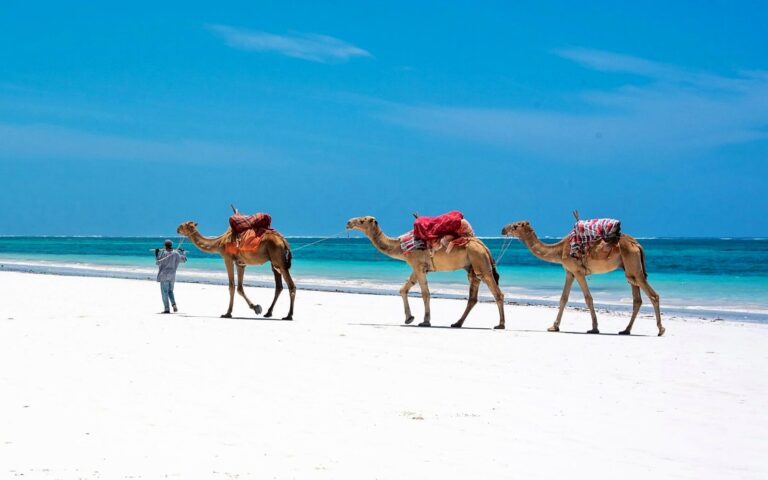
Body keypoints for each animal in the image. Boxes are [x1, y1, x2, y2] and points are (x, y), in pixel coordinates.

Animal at [346, 216, 505, 329]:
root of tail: (483, 246)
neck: (400, 247)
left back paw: (500, 325)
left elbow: (425, 293)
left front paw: (425, 321)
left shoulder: (417, 264)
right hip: (472, 266)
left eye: (362, 220)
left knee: (497, 293)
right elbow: (403, 289)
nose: (348, 222)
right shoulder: (420, 267)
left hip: (481, 262)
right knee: (472, 297)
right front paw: (409, 318)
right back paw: (457, 323)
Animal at [501, 220, 664, 336]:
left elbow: (588, 298)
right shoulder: (569, 272)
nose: (503, 229)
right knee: (637, 299)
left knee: (653, 295)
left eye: (515, 225)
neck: (560, 249)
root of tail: (636, 244)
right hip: (629, 269)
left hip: (633, 266)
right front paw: (554, 326)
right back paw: (625, 330)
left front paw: (594, 328)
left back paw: (660, 329)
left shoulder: (578, 271)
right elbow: (563, 298)